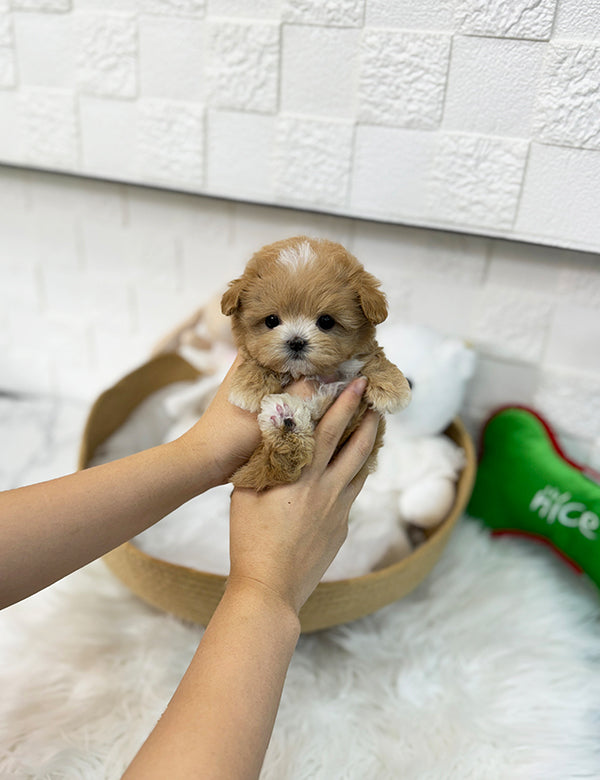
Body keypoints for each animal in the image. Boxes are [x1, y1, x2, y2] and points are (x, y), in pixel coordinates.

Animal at [221, 235, 412, 488]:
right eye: (271, 320)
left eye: (326, 321)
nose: (296, 342)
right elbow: (258, 360)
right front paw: (249, 387)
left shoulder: (359, 358)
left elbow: (374, 359)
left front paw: (393, 388)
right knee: (279, 465)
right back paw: (286, 421)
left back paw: (287, 421)